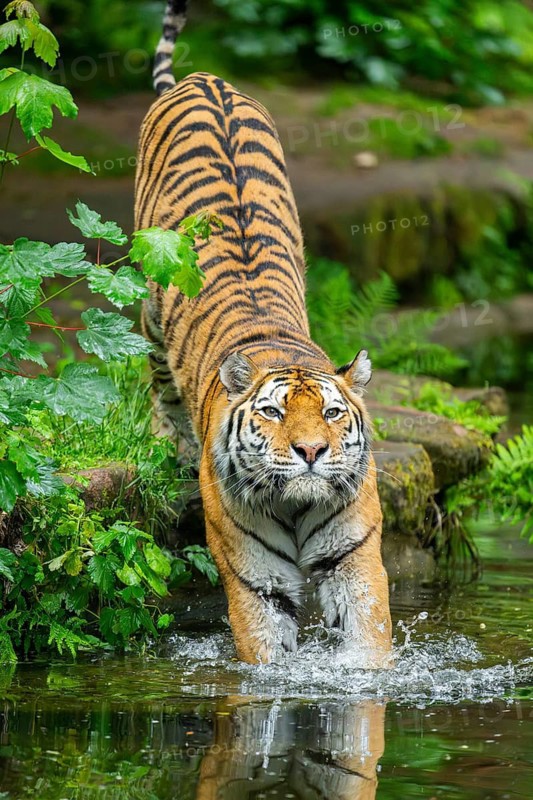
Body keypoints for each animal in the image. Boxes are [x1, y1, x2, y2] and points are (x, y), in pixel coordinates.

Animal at [134, 0, 392, 666]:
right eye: (273, 413)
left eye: (332, 414)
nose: (311, 454)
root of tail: (201, 78)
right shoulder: (255, 579)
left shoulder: (356, 561)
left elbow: (367, 648)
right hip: (148, 304)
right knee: (157, 382)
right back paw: (170, 444)